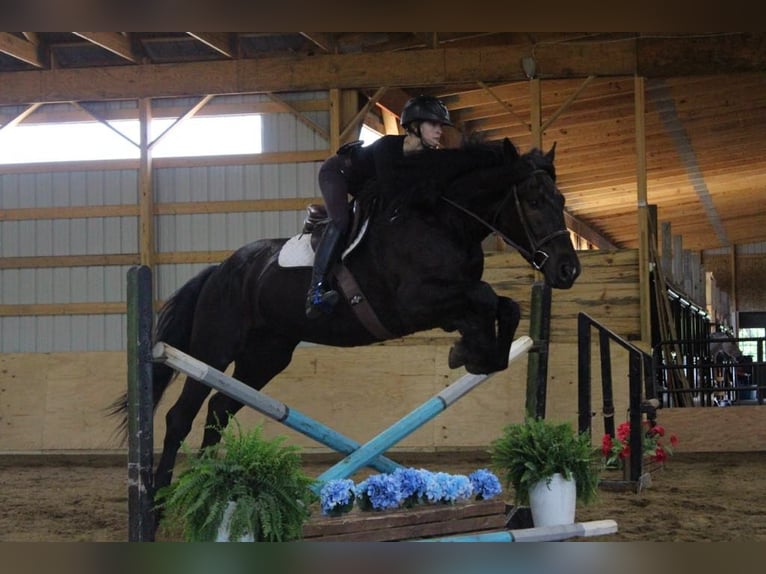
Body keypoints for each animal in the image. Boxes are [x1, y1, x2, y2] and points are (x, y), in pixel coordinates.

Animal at [111, 137, 580, 525]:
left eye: (560, 199)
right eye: (534, 201)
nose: (568, 270)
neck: (443, 220)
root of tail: (220, 269)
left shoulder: (447, 303)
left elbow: (504, 306)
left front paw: (476, 352)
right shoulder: (415, 303)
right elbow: (484, 297)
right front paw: (473, 351)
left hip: (265, 356)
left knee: (219, 410)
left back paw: (212, 489)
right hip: (214, 348)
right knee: (181, 416)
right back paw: (158, 505)